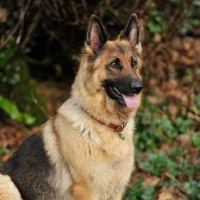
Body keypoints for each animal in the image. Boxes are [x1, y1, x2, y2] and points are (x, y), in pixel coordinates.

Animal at [0, 13, 144, 199]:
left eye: (134, 64)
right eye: (114, 64)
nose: (139, 87)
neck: (105, 124)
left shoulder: (116, 192)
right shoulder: (84, 191)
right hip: (6, 182)